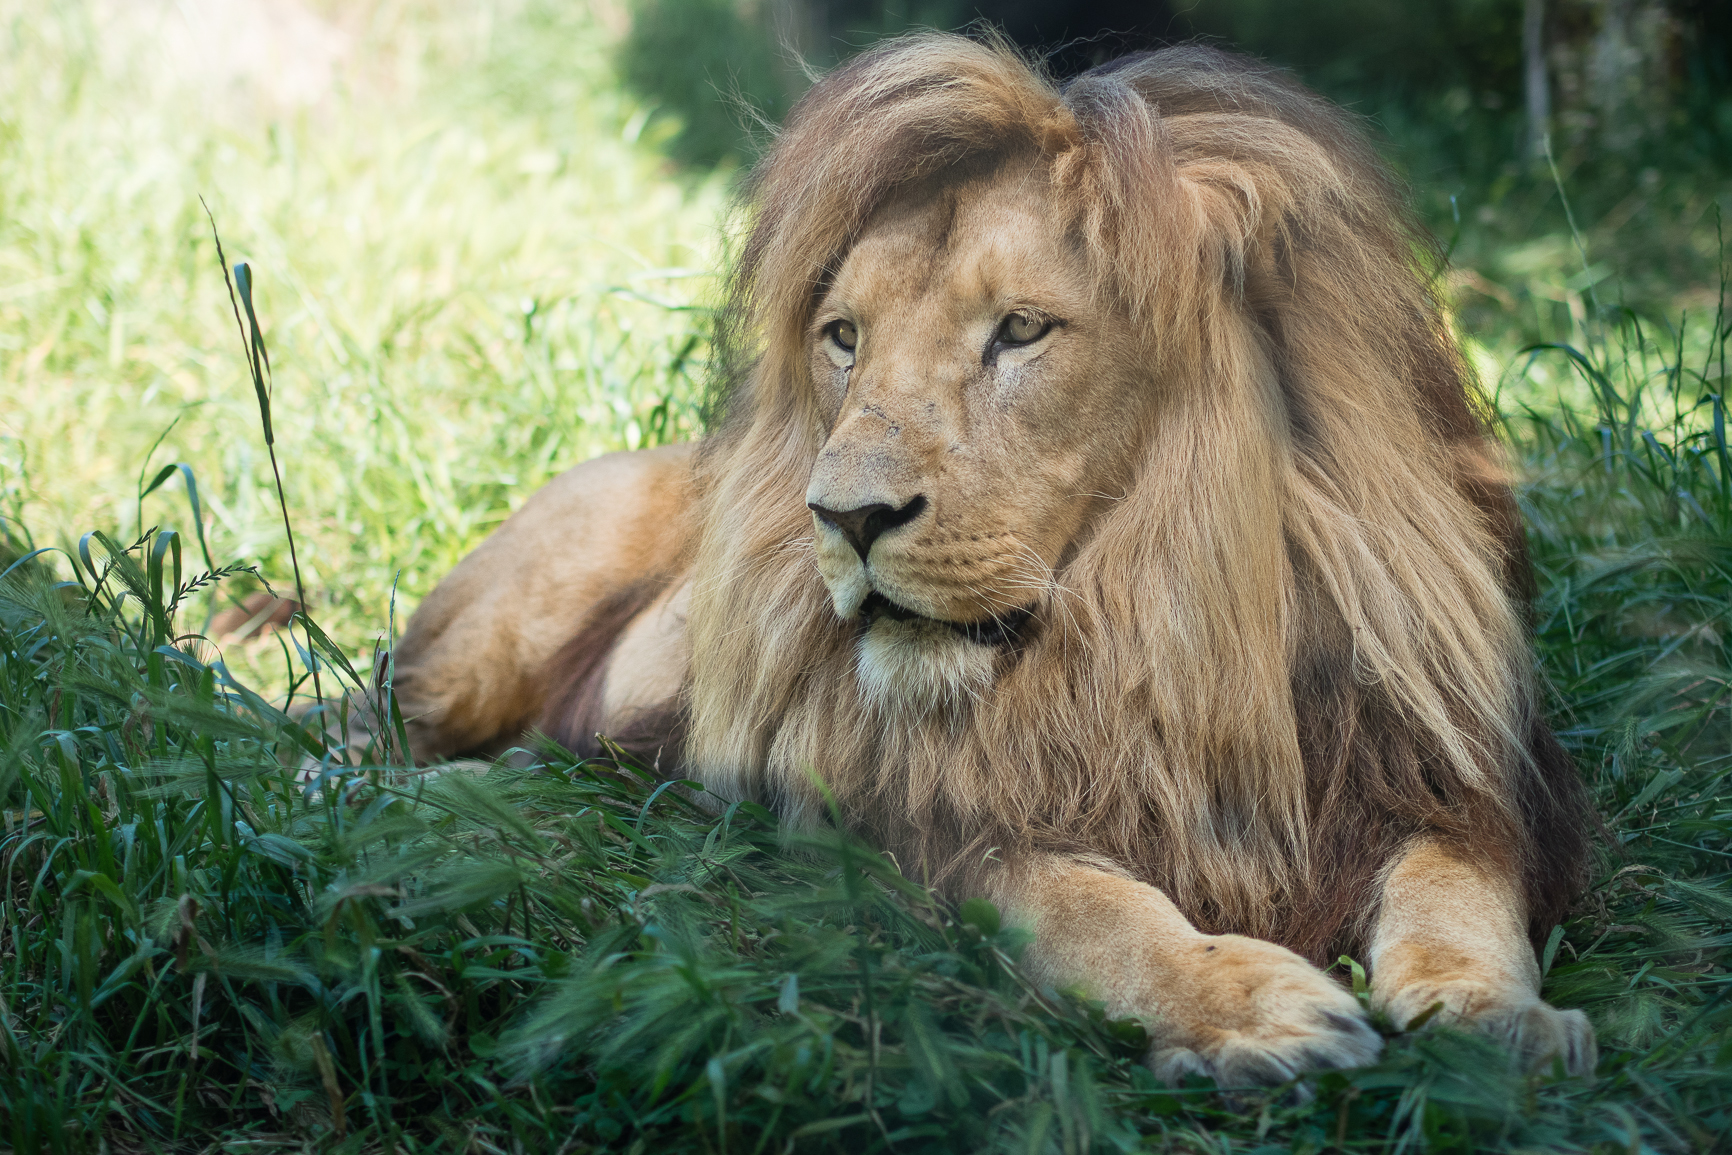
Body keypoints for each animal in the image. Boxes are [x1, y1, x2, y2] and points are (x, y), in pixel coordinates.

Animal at [381, 35, 1596, 1084]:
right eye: (844, 337)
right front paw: (1249, 1006)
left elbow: (1459, 889)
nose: (843, 517)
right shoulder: (916, 833)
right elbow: (1087, 909)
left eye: (1019, 329)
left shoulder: (1443, 769)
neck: (1161, 614)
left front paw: (1497, 1014)